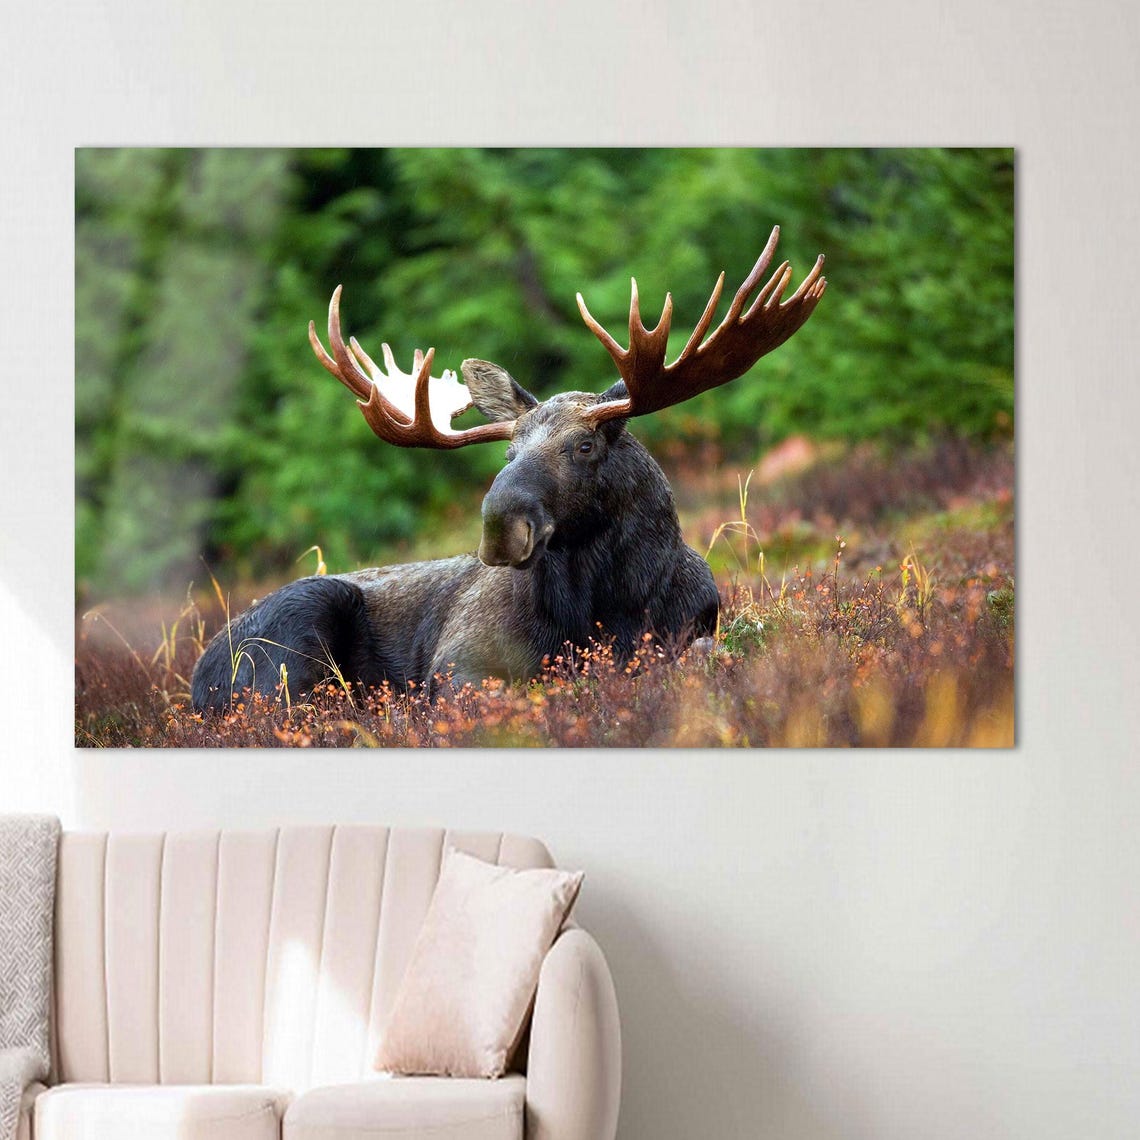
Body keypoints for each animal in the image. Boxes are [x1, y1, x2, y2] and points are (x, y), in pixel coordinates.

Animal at [190, 226, 826, 710]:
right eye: (508, 453)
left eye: (585, 446)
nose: (500, 525)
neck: (609, 607)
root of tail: (197, 678)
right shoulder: (458, 664)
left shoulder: (693, 629)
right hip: (295, 632)